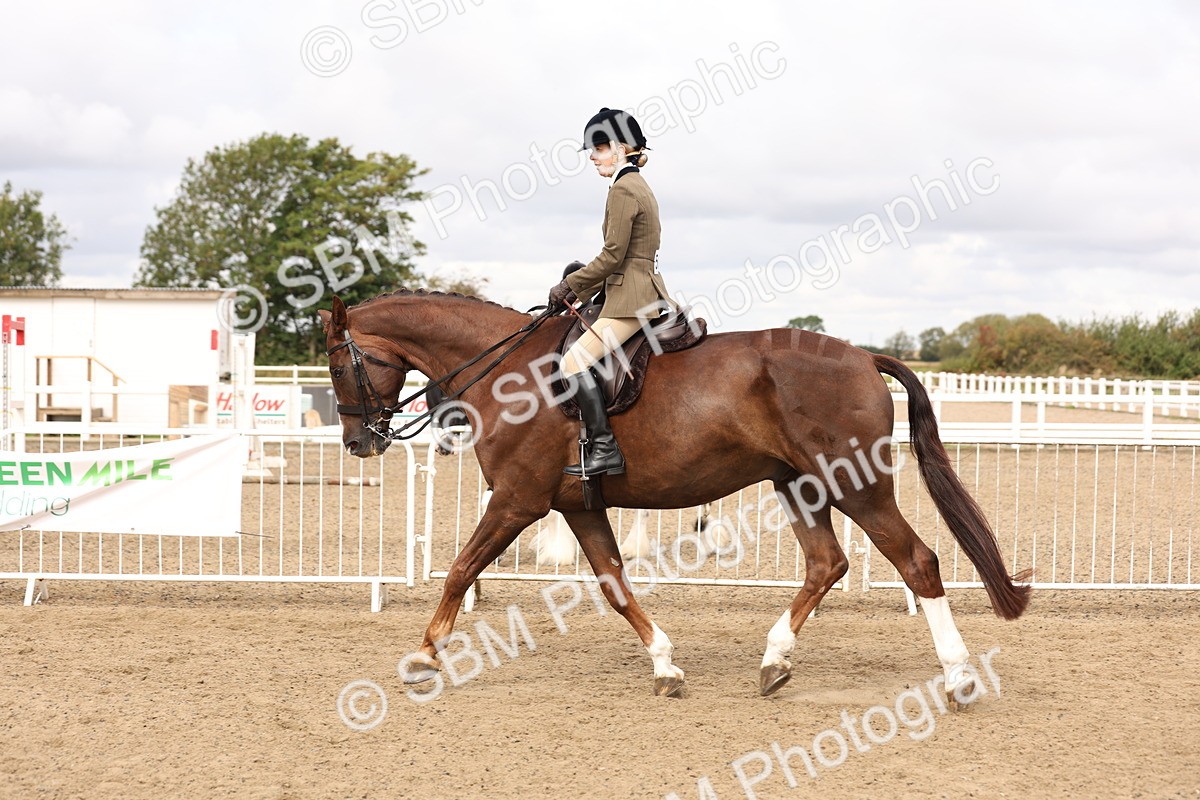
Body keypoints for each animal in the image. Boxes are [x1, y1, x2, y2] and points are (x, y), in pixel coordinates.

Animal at [319, 290, 1030, 700]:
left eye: (337, 363)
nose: (357, 442)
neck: (508, 372)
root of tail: (862, 356)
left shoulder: (518, 501)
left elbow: (460, 570)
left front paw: (421, 657)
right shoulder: (576, 506)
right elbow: (613, 583)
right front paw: (664, 665)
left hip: (856, 486)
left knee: (918, 562)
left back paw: (959, 675)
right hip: (798, 485)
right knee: (827, 563)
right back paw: (774, 661)